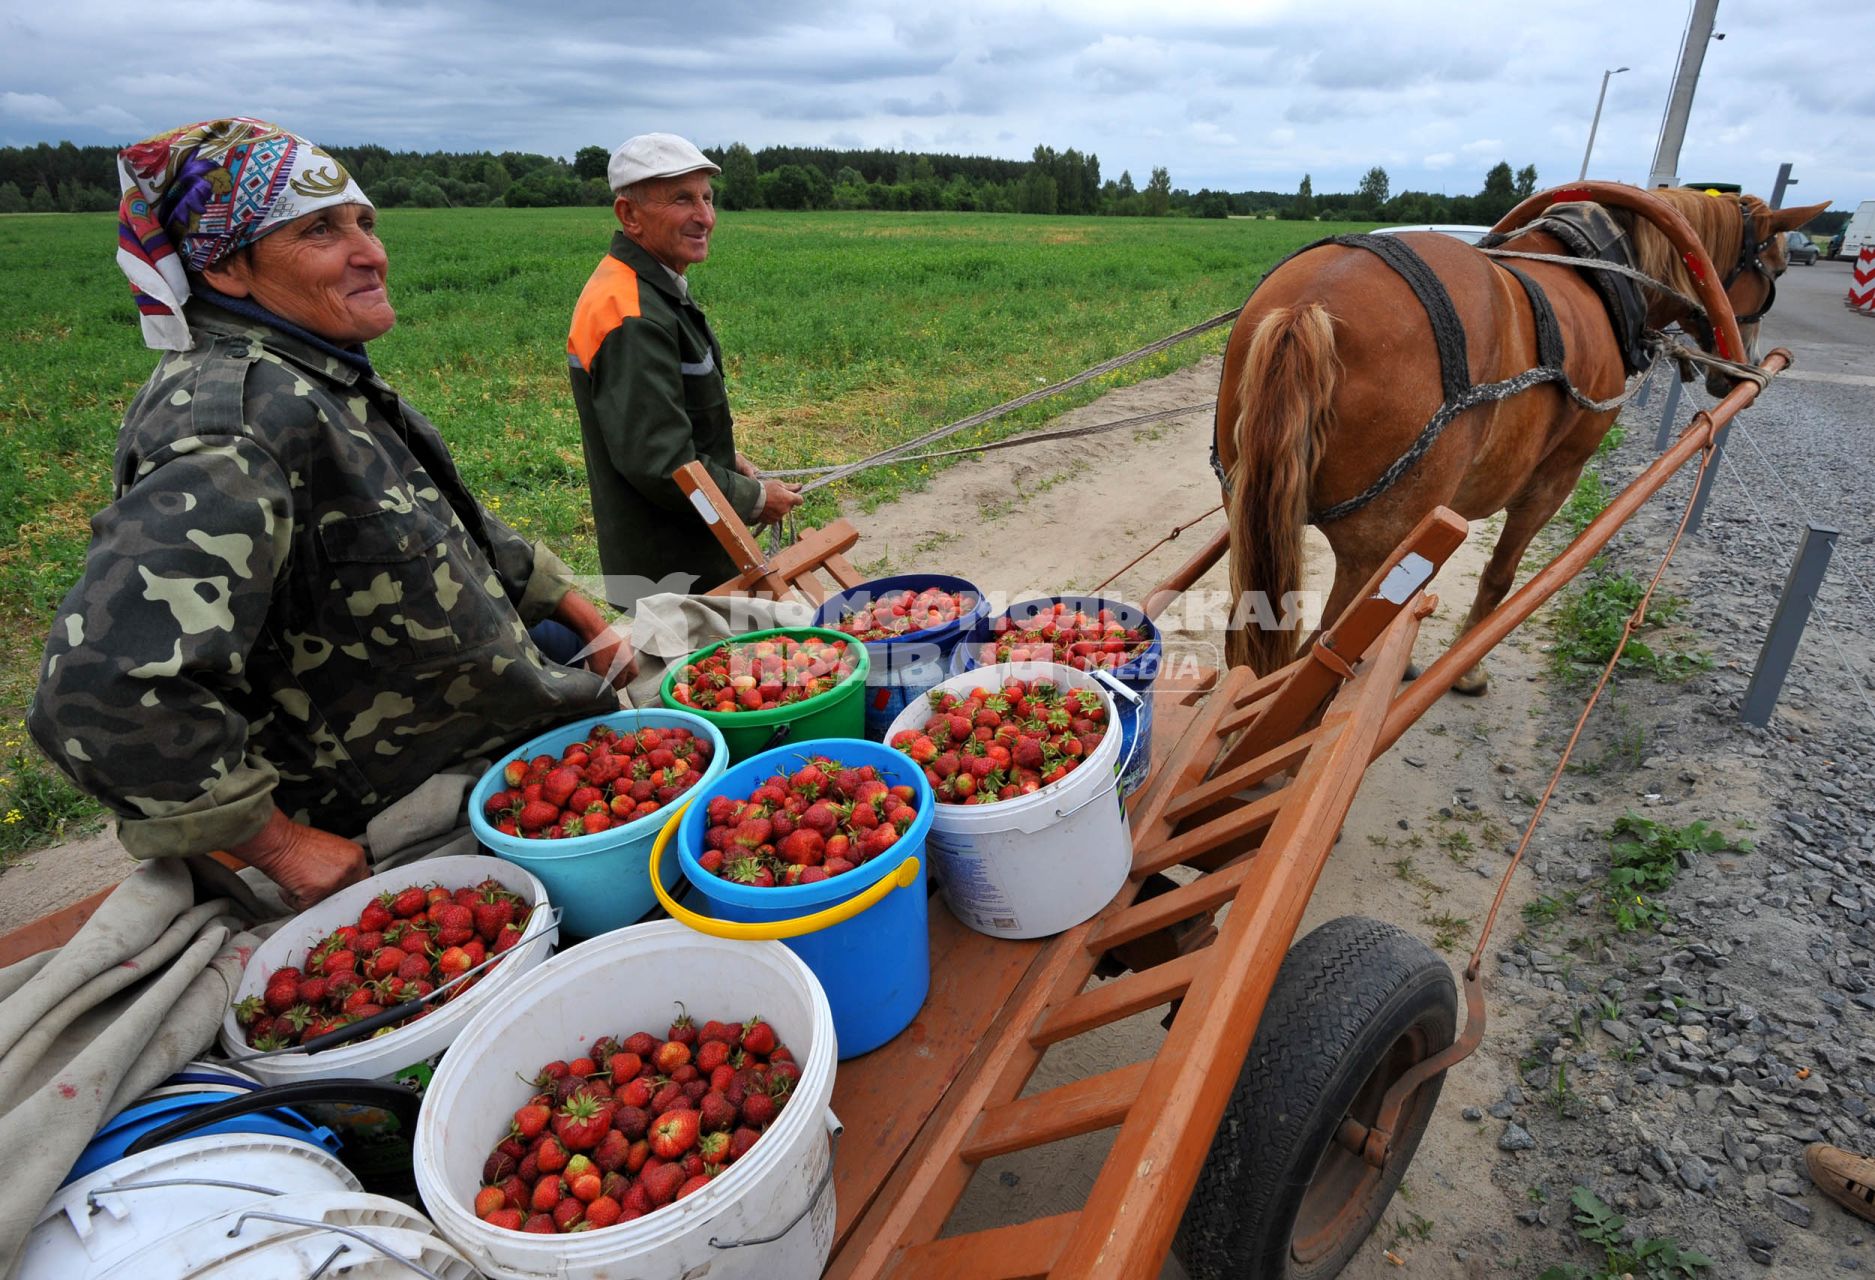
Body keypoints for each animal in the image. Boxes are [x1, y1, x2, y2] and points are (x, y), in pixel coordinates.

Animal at [1222, 182, 1822, 689]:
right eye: (1776, 265)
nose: (1743, 365)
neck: (1601, 273)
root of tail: (1310, 306)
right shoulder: (1554, 479)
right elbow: (1499, 576)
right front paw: (1464, 670)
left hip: (1258, 518)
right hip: (1375, 549)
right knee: (1309, 664)